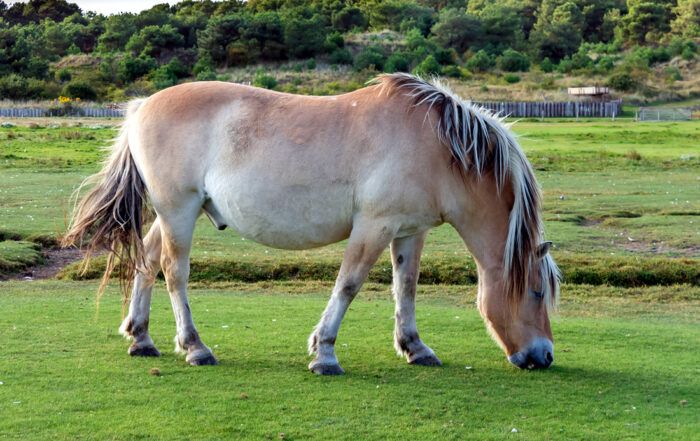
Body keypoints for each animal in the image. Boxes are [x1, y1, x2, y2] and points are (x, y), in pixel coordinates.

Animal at [62, 73, 560, 374]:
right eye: (536, 293)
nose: (544, 356)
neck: (437, 146)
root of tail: (142, 105)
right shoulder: (373, 227)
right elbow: (349, 285)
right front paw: (325, 353)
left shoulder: (408, 231)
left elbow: (406, 287)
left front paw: (415, 347)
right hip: (179, 210)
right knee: (174, 272)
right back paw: (195, 346)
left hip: (174, 213)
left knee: (147, 261)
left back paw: (141, 337)